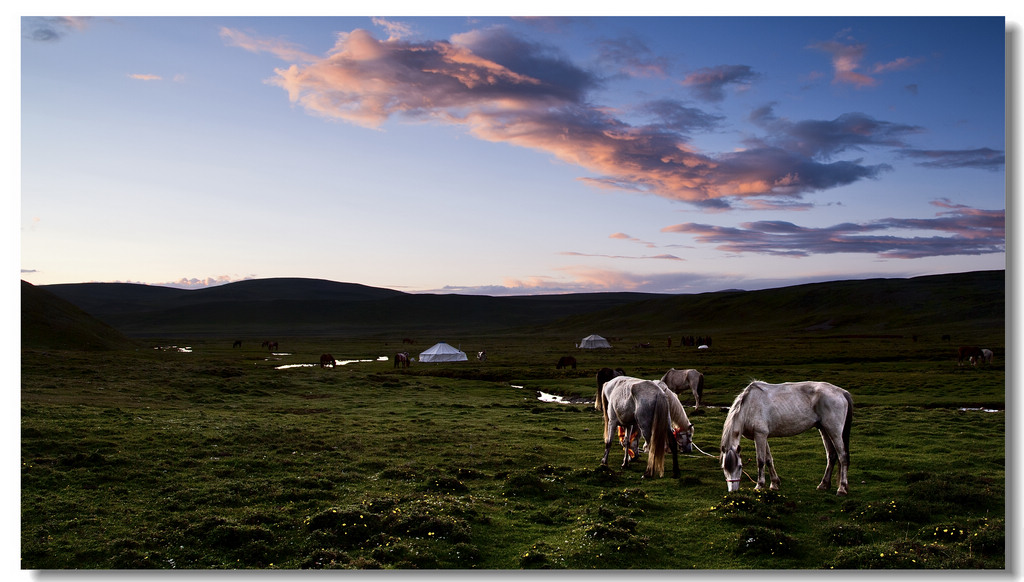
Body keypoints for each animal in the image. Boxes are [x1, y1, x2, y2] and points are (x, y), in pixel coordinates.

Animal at [720, 381, 856, 495]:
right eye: (724, 468)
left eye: (740, 467)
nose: (733, 491)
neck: (749, 407)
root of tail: (842, 392)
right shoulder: (761, 436)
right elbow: (768, 460)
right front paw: (774, 483)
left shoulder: (760, 435)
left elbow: (761, 461)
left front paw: (759, 485)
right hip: (824, 429)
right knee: (831, 456)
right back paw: (823, 485)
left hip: (834, 431)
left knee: (842, 456)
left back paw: (842, 488)